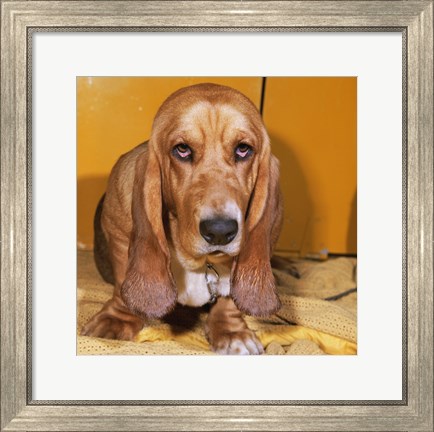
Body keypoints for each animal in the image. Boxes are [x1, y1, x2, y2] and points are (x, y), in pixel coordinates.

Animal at [82, 83, 284, 354]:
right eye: (182, 149)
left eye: (243, 149)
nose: (220, 231)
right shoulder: (118, 233)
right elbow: (123, 278)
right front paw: (116, 319)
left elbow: (229, 298)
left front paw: (232, 332)